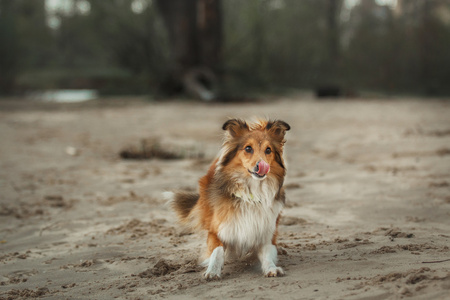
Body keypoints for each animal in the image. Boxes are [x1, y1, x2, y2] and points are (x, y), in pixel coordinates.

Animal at [164, 118, 288, 278]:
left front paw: (271, 268)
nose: (262, 166)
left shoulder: (266, 230)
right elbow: (217, 252)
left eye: (268, 150)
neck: (251, 193)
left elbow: (267, 252)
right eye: (248, 148)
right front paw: (212, 271)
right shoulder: (217, 230)